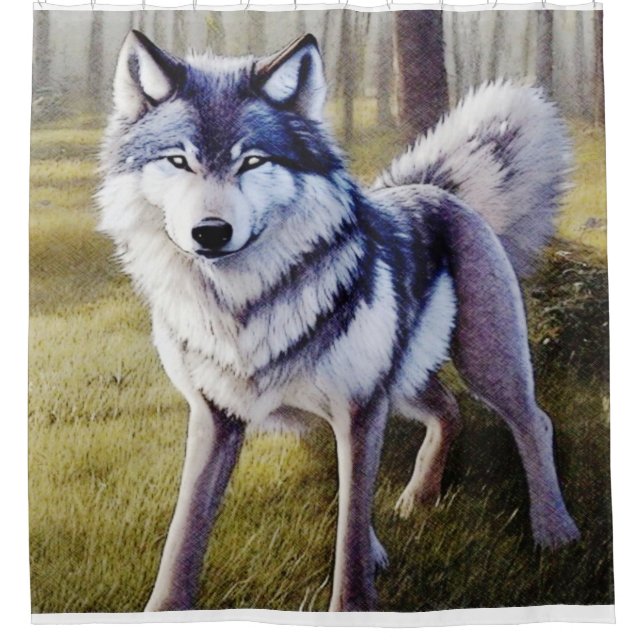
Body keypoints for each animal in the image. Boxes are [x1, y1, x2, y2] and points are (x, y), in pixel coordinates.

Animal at [98, 30, 580, 612]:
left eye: (252, 161)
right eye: (178, 160)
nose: (210, 232)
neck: (244, 307)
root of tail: (435, 190)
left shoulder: (358, 409)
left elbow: (348, 533)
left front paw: (354, 604)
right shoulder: (217, 417)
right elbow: (184, 531)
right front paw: (163, 610)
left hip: (484, 365)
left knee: (534, 422)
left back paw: (555, 531)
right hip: (404, 382)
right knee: (448, 410)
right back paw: (418, 499)